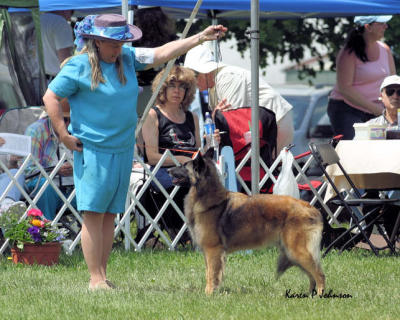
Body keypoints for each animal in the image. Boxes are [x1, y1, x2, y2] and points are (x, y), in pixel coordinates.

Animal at [168, 149, 324, 296]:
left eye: (183, 166)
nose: (168, 170)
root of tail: (310, 207)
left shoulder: (213, 250)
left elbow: (212, 274)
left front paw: (209, 293)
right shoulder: (209, 252)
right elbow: (209, 273)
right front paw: (210, 292)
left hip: (296, 251)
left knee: (319, 274)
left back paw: (319, 295)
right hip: (293, 253)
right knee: (312, 276)